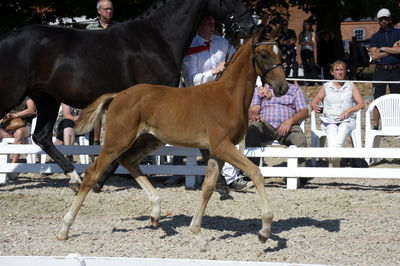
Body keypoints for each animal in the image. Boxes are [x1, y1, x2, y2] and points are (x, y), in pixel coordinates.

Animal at [0, 0, 255, 191]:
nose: (250, 25)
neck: (159, 39)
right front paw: (100, 181)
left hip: (47, 98)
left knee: (42, 136)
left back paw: (74, 178)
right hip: (14, 96)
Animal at [57, 27, 288, 249]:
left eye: (281, 54)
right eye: (264, 55)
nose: (282, 87)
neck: (228, 97)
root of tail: (117, 95)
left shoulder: (217, 151)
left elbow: (208, 188)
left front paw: (197, 235)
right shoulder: (223, 146)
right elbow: (255, 172)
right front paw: (264, 231)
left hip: (149, 140)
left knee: (128, 161)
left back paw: (156, 214)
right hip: (117, 141)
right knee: (92, 174)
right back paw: (64, 229)